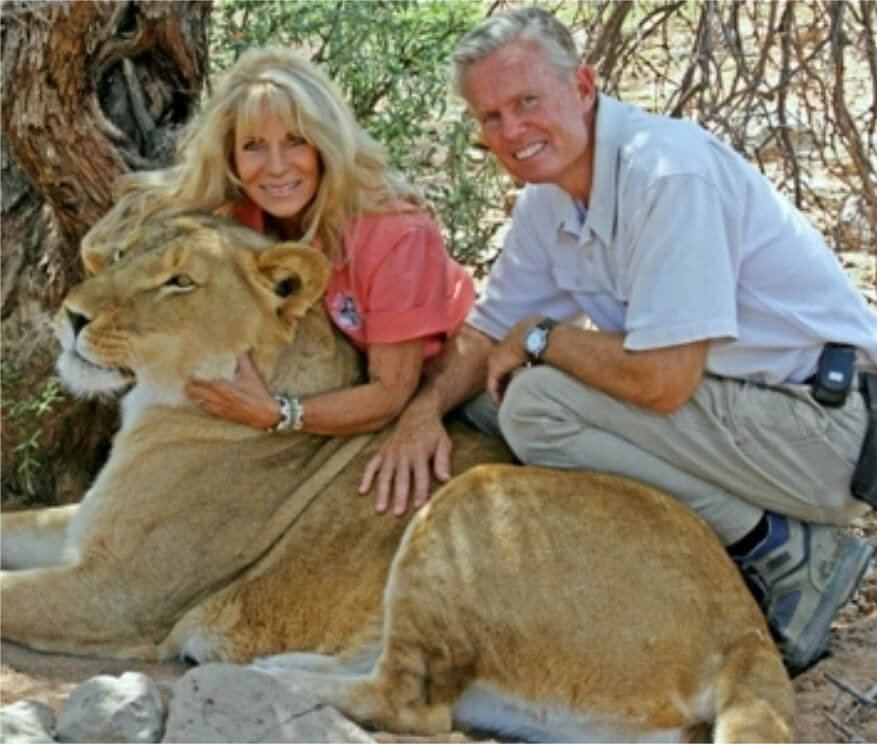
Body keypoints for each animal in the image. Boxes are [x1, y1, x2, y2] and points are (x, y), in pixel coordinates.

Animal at [1, 212, 792, 740]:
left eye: (178, 282)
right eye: (120, 254)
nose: (70, 315)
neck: (158, 402)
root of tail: (745, 626)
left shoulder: (121, 595)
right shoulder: (82, 530)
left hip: (468, 501)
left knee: (413, 704)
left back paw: (263, 675)